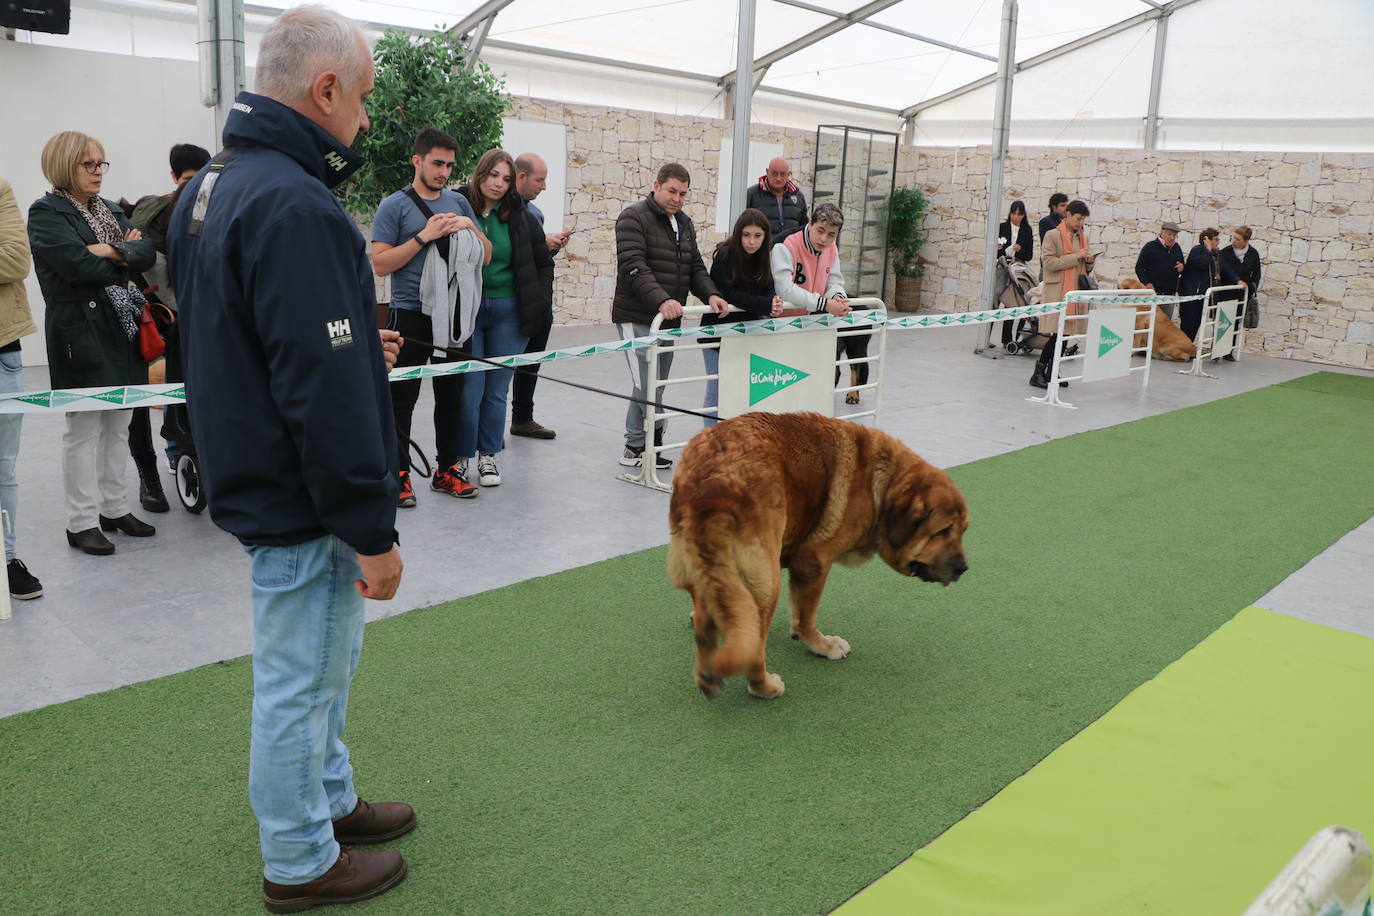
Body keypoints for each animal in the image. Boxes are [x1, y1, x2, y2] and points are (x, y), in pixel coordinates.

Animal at [662, 414, 967, 703]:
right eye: (942, 532)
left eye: (963, 530)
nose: (963, 568)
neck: (881, 483)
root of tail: (710, 484)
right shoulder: (813, 560)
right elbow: (807, 616)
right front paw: (823, 645)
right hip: (765, 583)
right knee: (753, 650)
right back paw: (765, 687)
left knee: (706, 621)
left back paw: (707, 675)